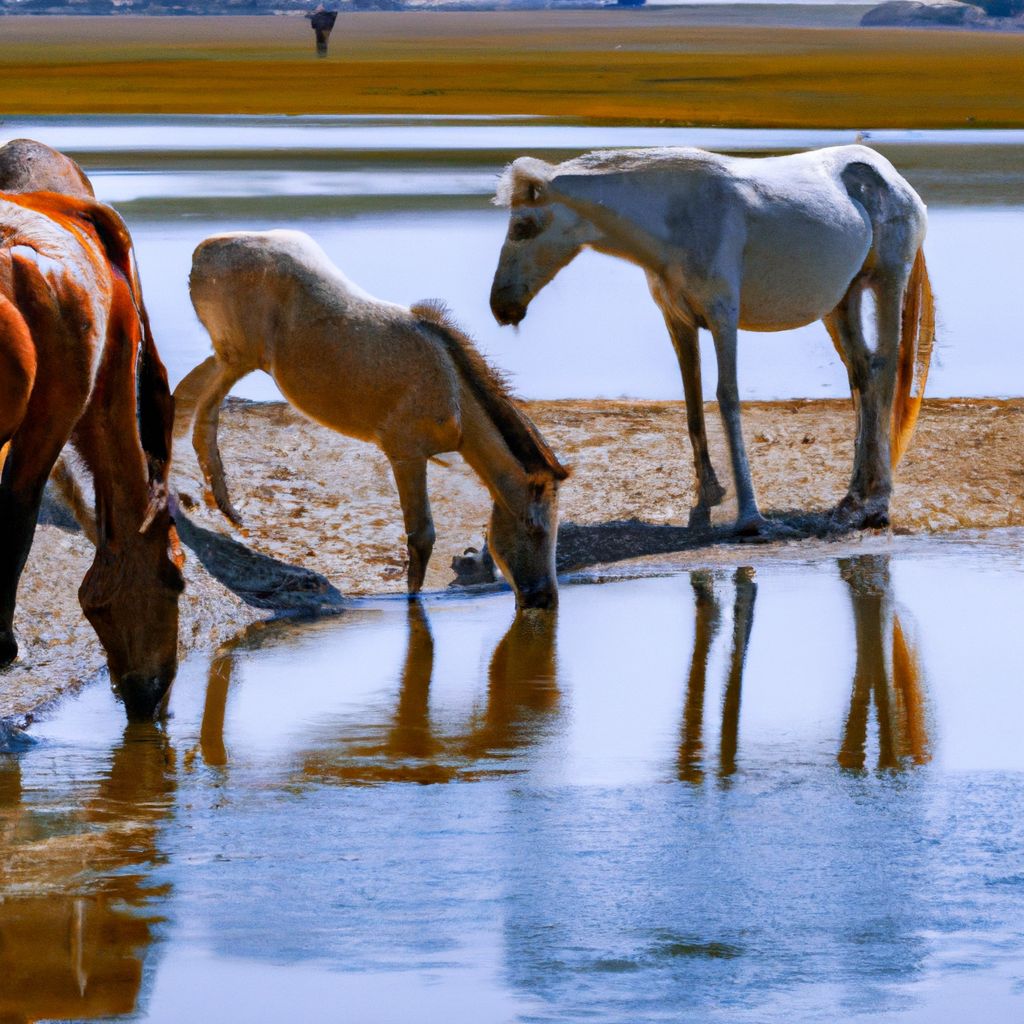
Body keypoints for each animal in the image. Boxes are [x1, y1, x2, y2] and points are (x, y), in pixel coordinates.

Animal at [489, 148, 937, 540]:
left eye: (522, 227)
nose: (500, 306)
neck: (679, 217)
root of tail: (890, 176)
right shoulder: (678, 320)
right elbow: (692, 401)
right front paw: (708, 495)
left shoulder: (723, 316)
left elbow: (727, 397)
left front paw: (750, 518)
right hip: (841, 301)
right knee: (863, 376)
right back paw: (852, 499)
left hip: (887, 282)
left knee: (884, 373)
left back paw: (877, 505)